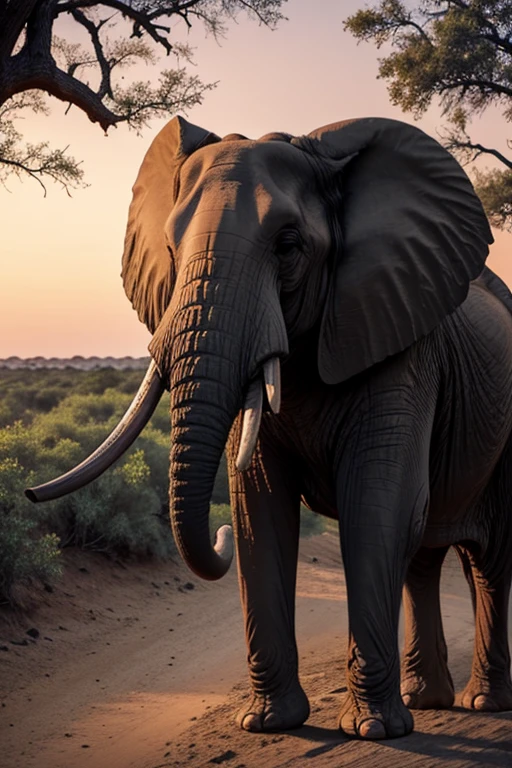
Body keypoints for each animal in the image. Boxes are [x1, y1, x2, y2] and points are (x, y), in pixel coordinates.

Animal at [26, 114, 512, 736]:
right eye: (171, 246)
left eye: (287, 246)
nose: (215, 537)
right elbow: (259, 505)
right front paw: (268, 723)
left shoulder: (400, 343)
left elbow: (378, 503)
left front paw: (372, 730)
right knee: (425, 554)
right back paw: (426, 700)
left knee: (488, 559)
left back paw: (483, 703)